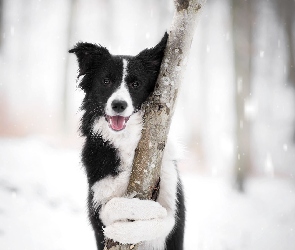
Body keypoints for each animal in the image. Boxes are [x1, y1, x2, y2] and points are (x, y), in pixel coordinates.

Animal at [69, 33, 185, 250]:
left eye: (135, 84)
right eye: (106, 81)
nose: (119, 105)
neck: (126, 141)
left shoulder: (172, 200)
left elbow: (165, 219)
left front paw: (149, 215)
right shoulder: (97, 200)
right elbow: (112, 207)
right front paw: (125, 225)